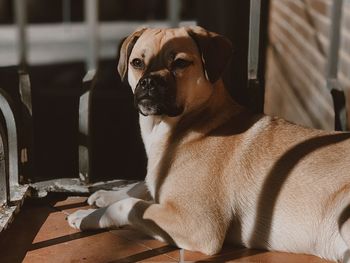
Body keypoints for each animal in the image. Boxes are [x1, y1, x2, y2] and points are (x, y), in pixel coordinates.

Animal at [67, 26, 350, 262]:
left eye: (180, 63)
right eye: (137, 63)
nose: (148, 82)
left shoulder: (198, 224)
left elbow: (133, 206)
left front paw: (89, 217)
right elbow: (139, 186)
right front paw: (106, 195)